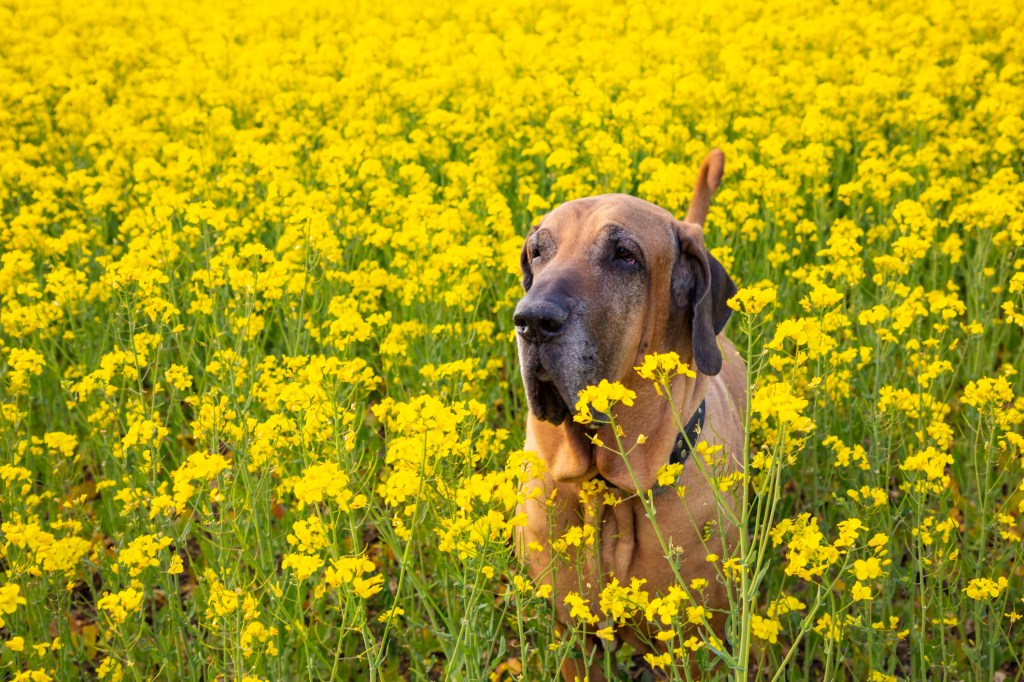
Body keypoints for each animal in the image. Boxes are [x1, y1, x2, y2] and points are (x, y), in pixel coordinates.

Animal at [512, 151, 745, 675]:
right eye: (537, 252)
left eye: (625, 255)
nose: (532, 320)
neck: (609, 493)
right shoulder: (573, 636)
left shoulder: (694, 642)